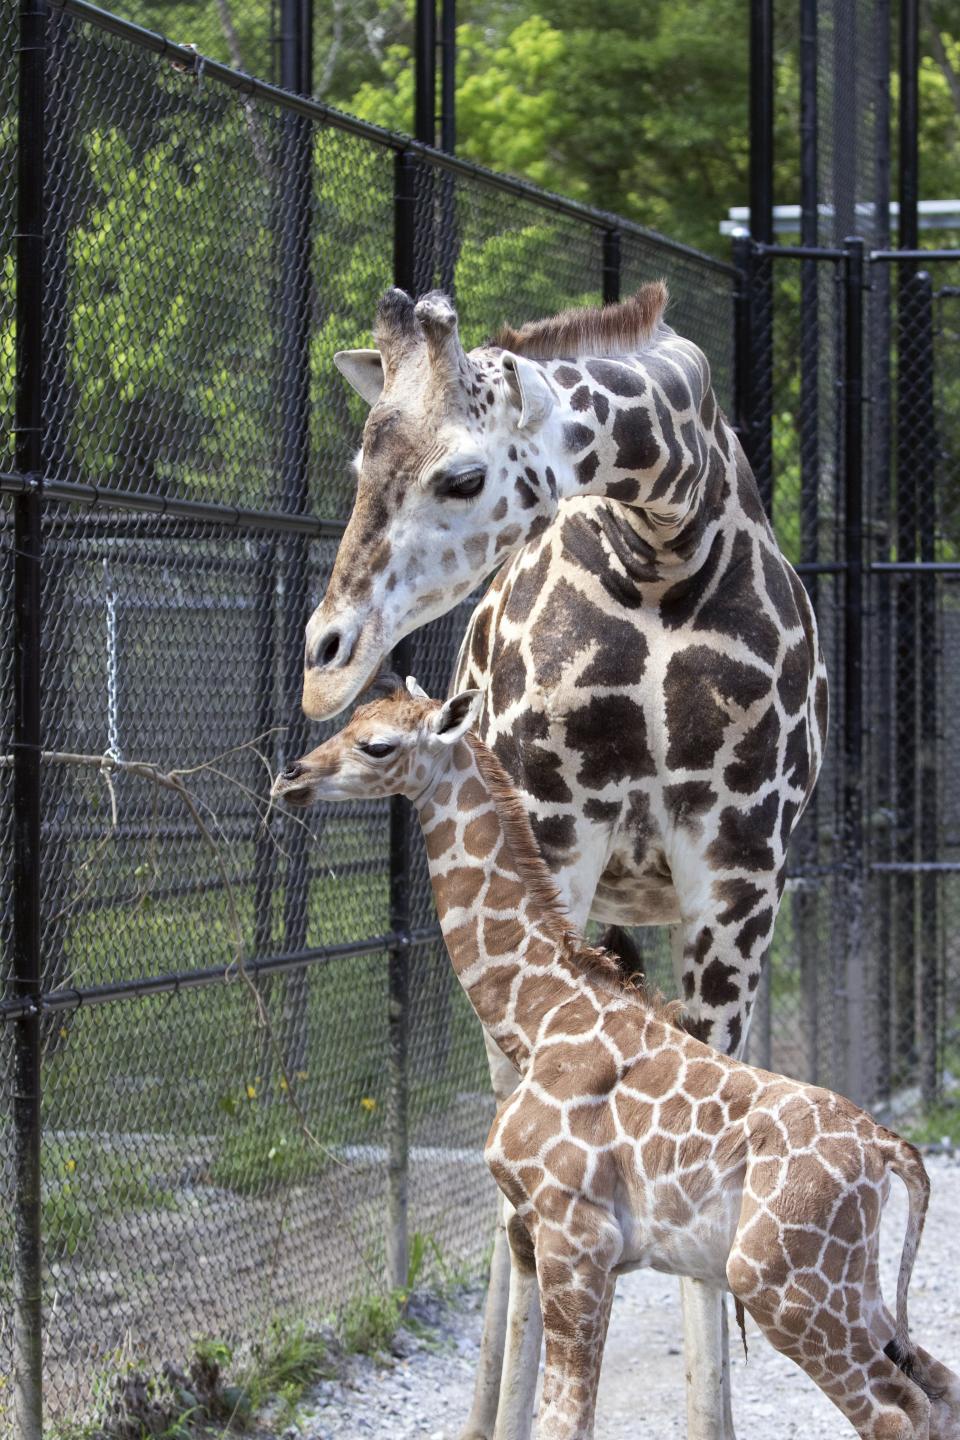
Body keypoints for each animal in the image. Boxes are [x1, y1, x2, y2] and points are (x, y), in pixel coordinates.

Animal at [272, 676, 960, 1440]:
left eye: (377, 744)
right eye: (355, 718)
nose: (289, 777)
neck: (538, 1015)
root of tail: (887, 1150)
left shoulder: (577, 1232)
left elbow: (564, 1417)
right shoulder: (547, 1233)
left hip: (778, 1279)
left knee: (894, 1413)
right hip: (850, 1281)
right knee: (938, 1388)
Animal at [297, 283, 829, 1440]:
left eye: (462, 476)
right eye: (361, 458)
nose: (326, 657)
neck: (666, 547)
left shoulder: (740, 871)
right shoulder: (556, 832)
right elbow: (525, 1208)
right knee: (513, 1193)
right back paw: (480, 1410)